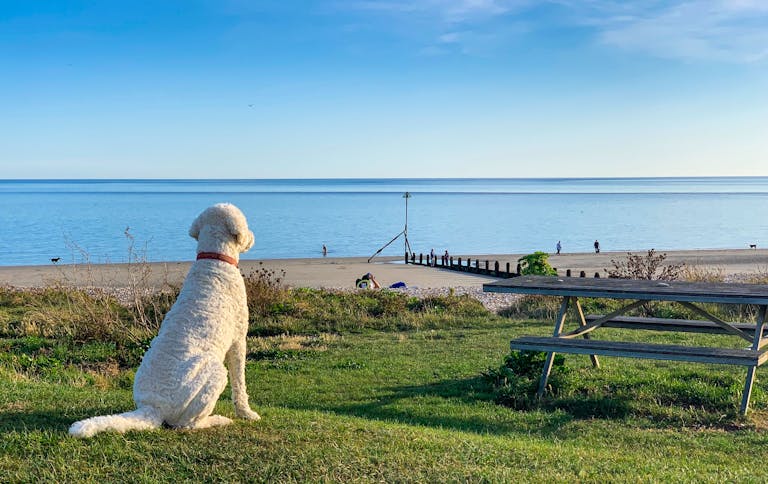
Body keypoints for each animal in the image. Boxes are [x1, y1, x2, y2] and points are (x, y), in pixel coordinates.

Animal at [70, 202, 260, 436]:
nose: (252, 236)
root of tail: (153, 407)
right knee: (186, 424)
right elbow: (240, 383)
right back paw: (217, 420)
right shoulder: (238, 339)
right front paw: (246, 413)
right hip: (214, 374)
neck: (214, 258)